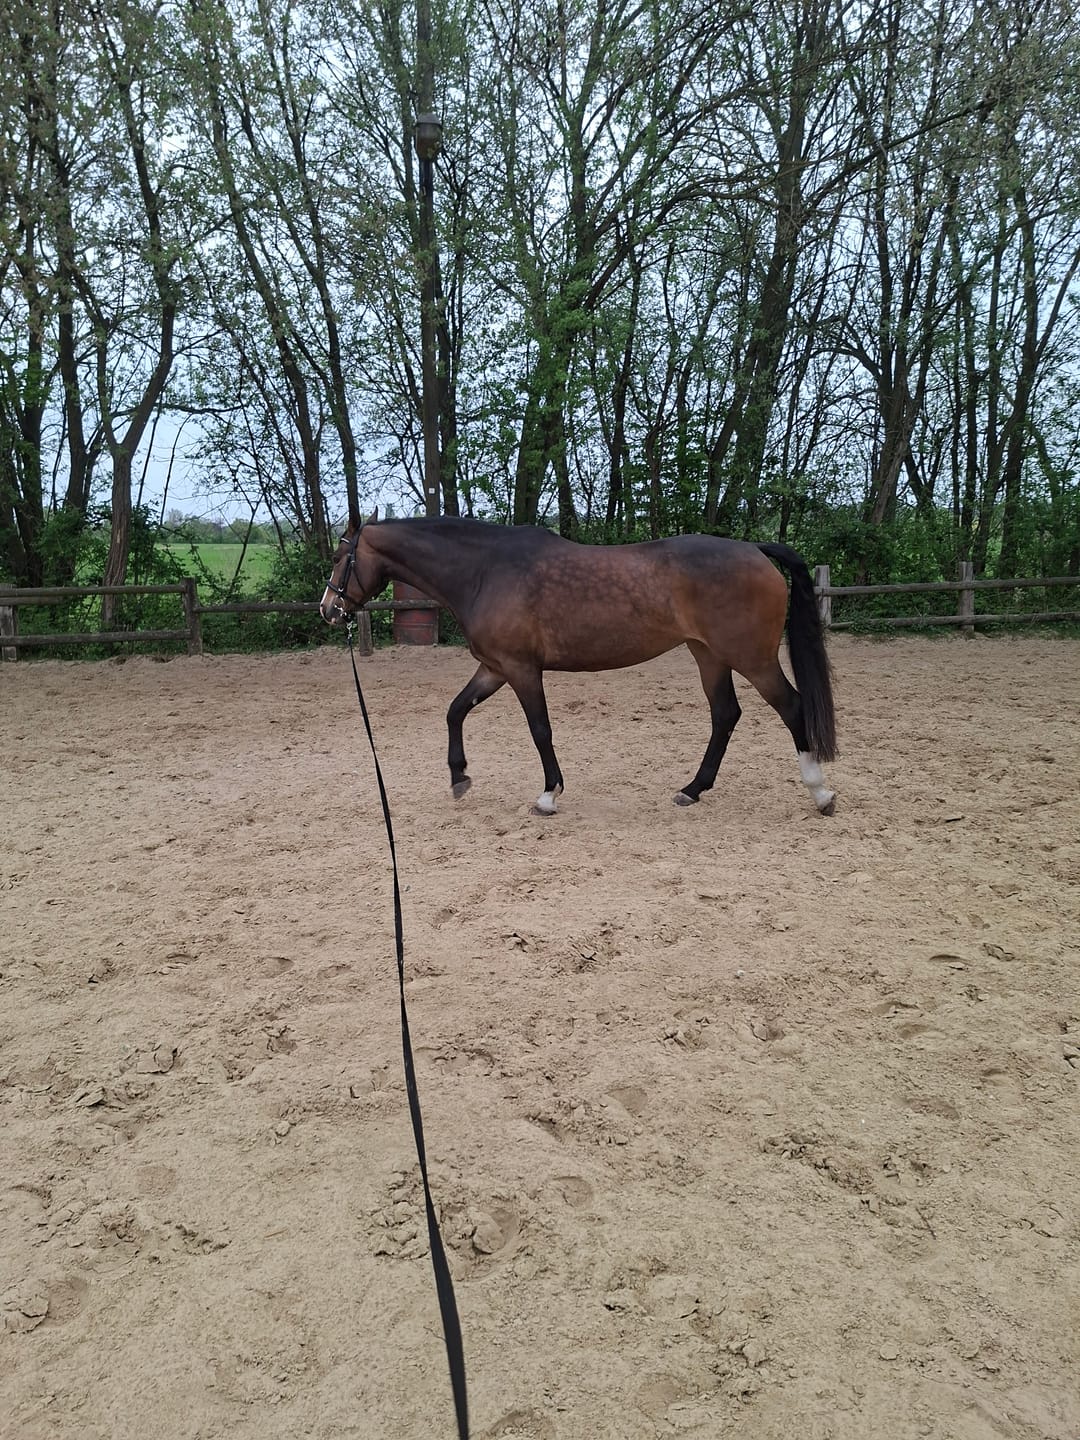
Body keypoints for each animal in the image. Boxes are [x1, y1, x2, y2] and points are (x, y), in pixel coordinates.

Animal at [320, 513, 837, 817]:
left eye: (342, 556)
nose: (329, 609)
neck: (486, 570)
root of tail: (755, 549)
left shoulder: (521, 669)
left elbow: (540, 730)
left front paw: (549, 795)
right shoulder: (495, 668)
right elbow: (455, 710)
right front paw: (459, 777)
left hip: (752, 658)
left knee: (792, 708)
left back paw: (820, 793)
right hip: (707, 654)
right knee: (726, 714)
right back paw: (692, 789)